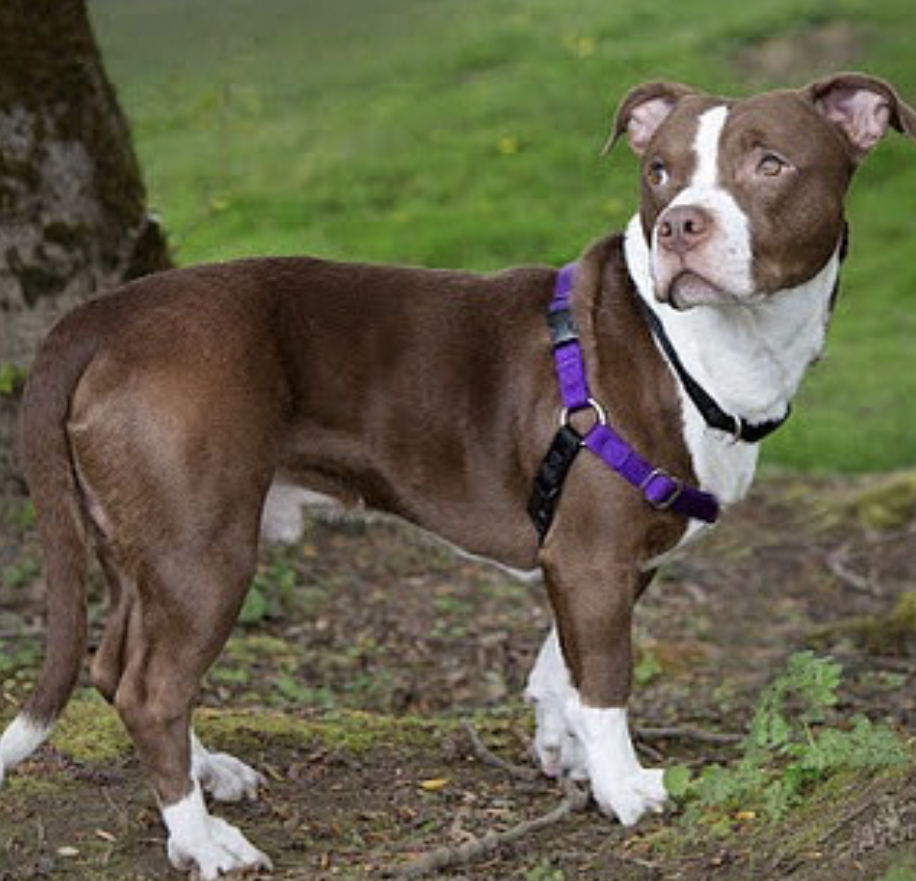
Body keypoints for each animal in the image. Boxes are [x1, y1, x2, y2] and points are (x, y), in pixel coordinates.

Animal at [1, 74, 916, 872]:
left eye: (772, 164)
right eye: (659, 173)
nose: (679, 225)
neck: (696, 345)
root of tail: (104, 314)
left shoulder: (601, 560)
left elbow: (560, 665)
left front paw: (566, 752)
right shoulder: (593, 557)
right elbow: (607, 676)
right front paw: (624, 787)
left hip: (142, 549)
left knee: (117, 666)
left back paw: (208, 771)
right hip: (203, 551)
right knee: (152, 688)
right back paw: (203, 841)